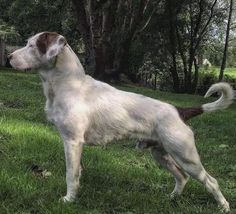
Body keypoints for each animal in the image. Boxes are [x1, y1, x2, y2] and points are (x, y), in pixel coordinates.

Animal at [8, 32, 233, 211]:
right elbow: (78, 173)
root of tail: (179, 111)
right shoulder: (76, 145)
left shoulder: (72, 142)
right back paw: (171, 198)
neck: (69, 85)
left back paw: (224, 207)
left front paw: (68, 200)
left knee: (211, 181)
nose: (8, 57)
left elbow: (70, 175)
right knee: (181, 177)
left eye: (32, 45)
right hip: (161, 154)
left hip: (186, 156)